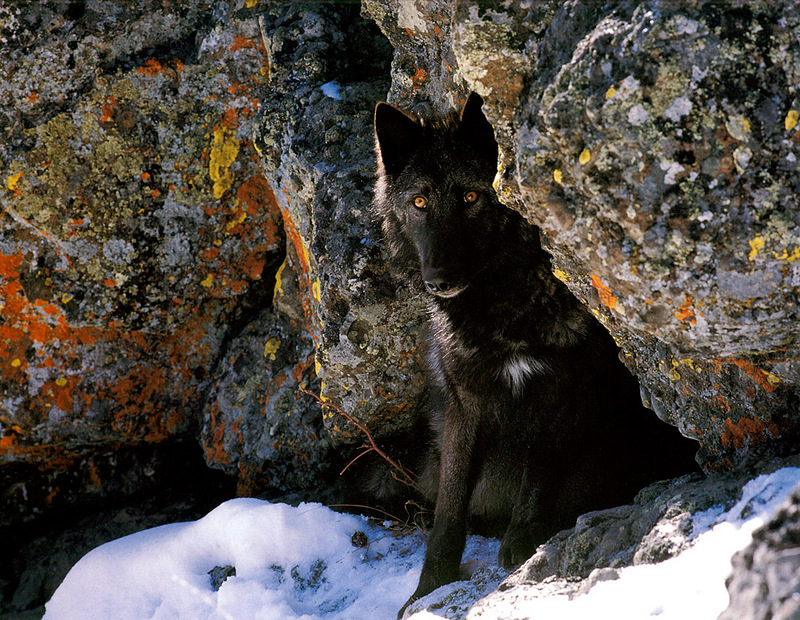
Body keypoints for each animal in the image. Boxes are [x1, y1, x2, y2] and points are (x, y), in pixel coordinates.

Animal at [372, 93, 696, 616]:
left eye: (471, 197)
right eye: (419, 202)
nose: (438, 280)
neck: (505, 308)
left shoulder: (563, 390)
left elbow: (540, 468)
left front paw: (521, 544)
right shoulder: (464, 405)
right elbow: (449, 506)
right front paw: (429, 587)